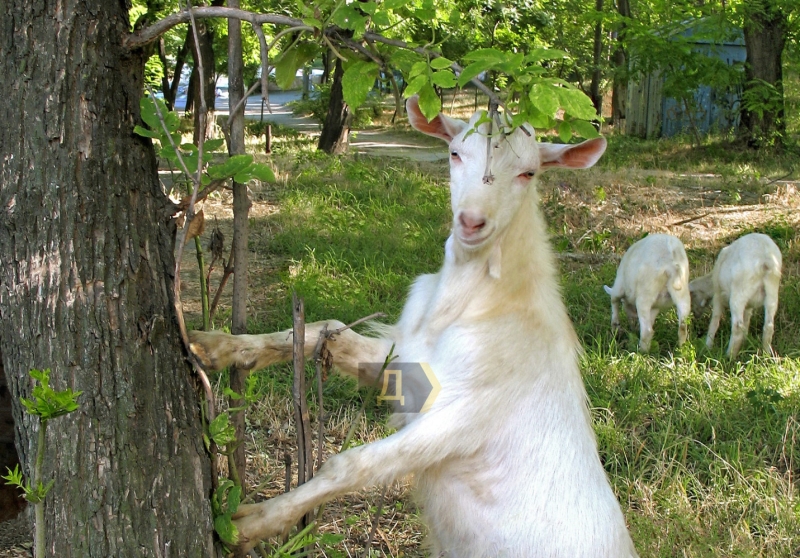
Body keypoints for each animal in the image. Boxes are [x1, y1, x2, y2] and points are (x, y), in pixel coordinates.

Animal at [188, 98, 636, 556]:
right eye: (455, 153)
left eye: (528, 173)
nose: (472, 221)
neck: (473, 305)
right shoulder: (408, 364)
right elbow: (326, 330)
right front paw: (216, 345)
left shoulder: (465, 414)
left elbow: (349, 464)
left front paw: (250, 523)